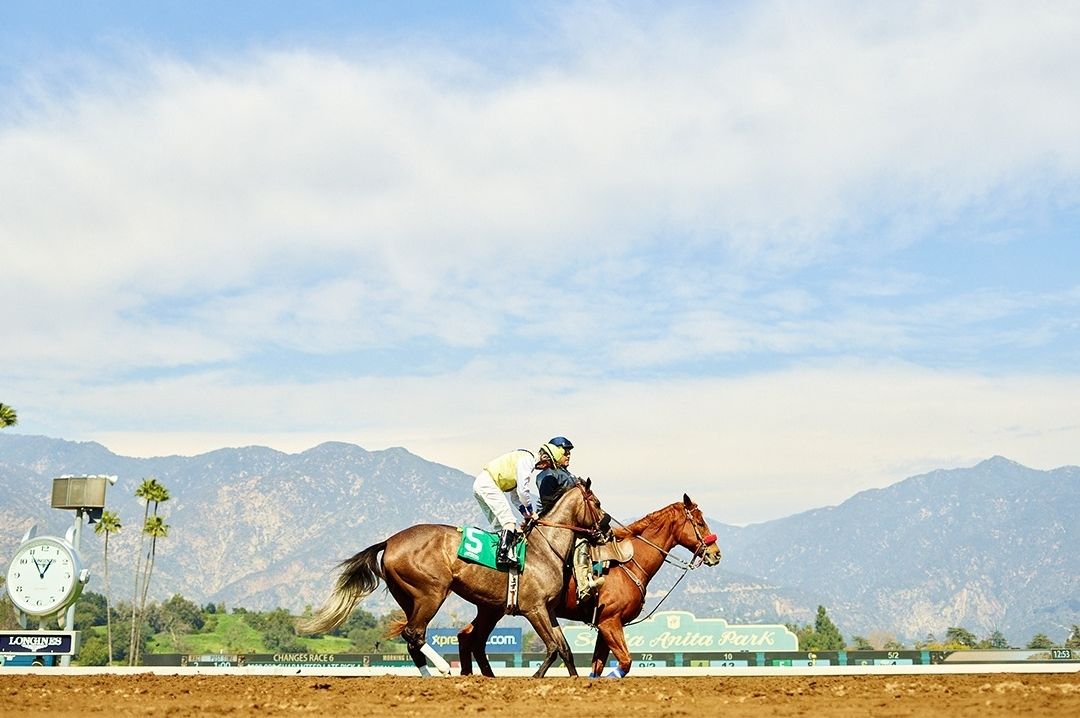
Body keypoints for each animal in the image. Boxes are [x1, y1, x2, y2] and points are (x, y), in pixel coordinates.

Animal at [295, 479, 609, 673]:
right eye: (596, 502)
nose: (606, 529)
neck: (545, 548)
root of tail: (390, 541)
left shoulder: (547, 610)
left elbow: (565, 649)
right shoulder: (534, 608)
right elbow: (554, 648)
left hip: (410, 598)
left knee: (417, 638)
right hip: (431, 593)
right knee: (415, 633)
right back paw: (445, 669)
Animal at [453, 492, 717, 678]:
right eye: (700, 522)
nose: (716, 553)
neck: (629, 562)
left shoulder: (605, 625)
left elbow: (597, 666)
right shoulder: (610, 623)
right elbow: (625, 662)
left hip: (491, 608)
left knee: (469, 638)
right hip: (496, 608)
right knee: (473, 639)